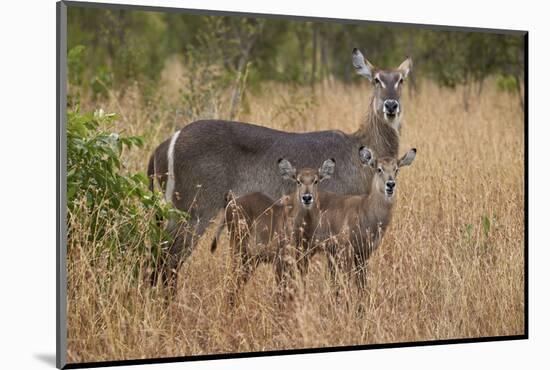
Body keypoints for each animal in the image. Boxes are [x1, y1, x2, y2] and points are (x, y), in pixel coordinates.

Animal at [149, 48, 412, 286]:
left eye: (401, 79)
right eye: (376, 79)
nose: (391, 105)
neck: (359, 150)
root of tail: (165, 144)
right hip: (192, 211)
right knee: (167, 260)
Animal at [209, 158, 334, 304]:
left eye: (316, 180)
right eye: (298, 181)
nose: (307, 197)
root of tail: (231, 201)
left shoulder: (303, 261)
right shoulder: (280, 262)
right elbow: (281, 295)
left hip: (251, 259)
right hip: (237, 251)